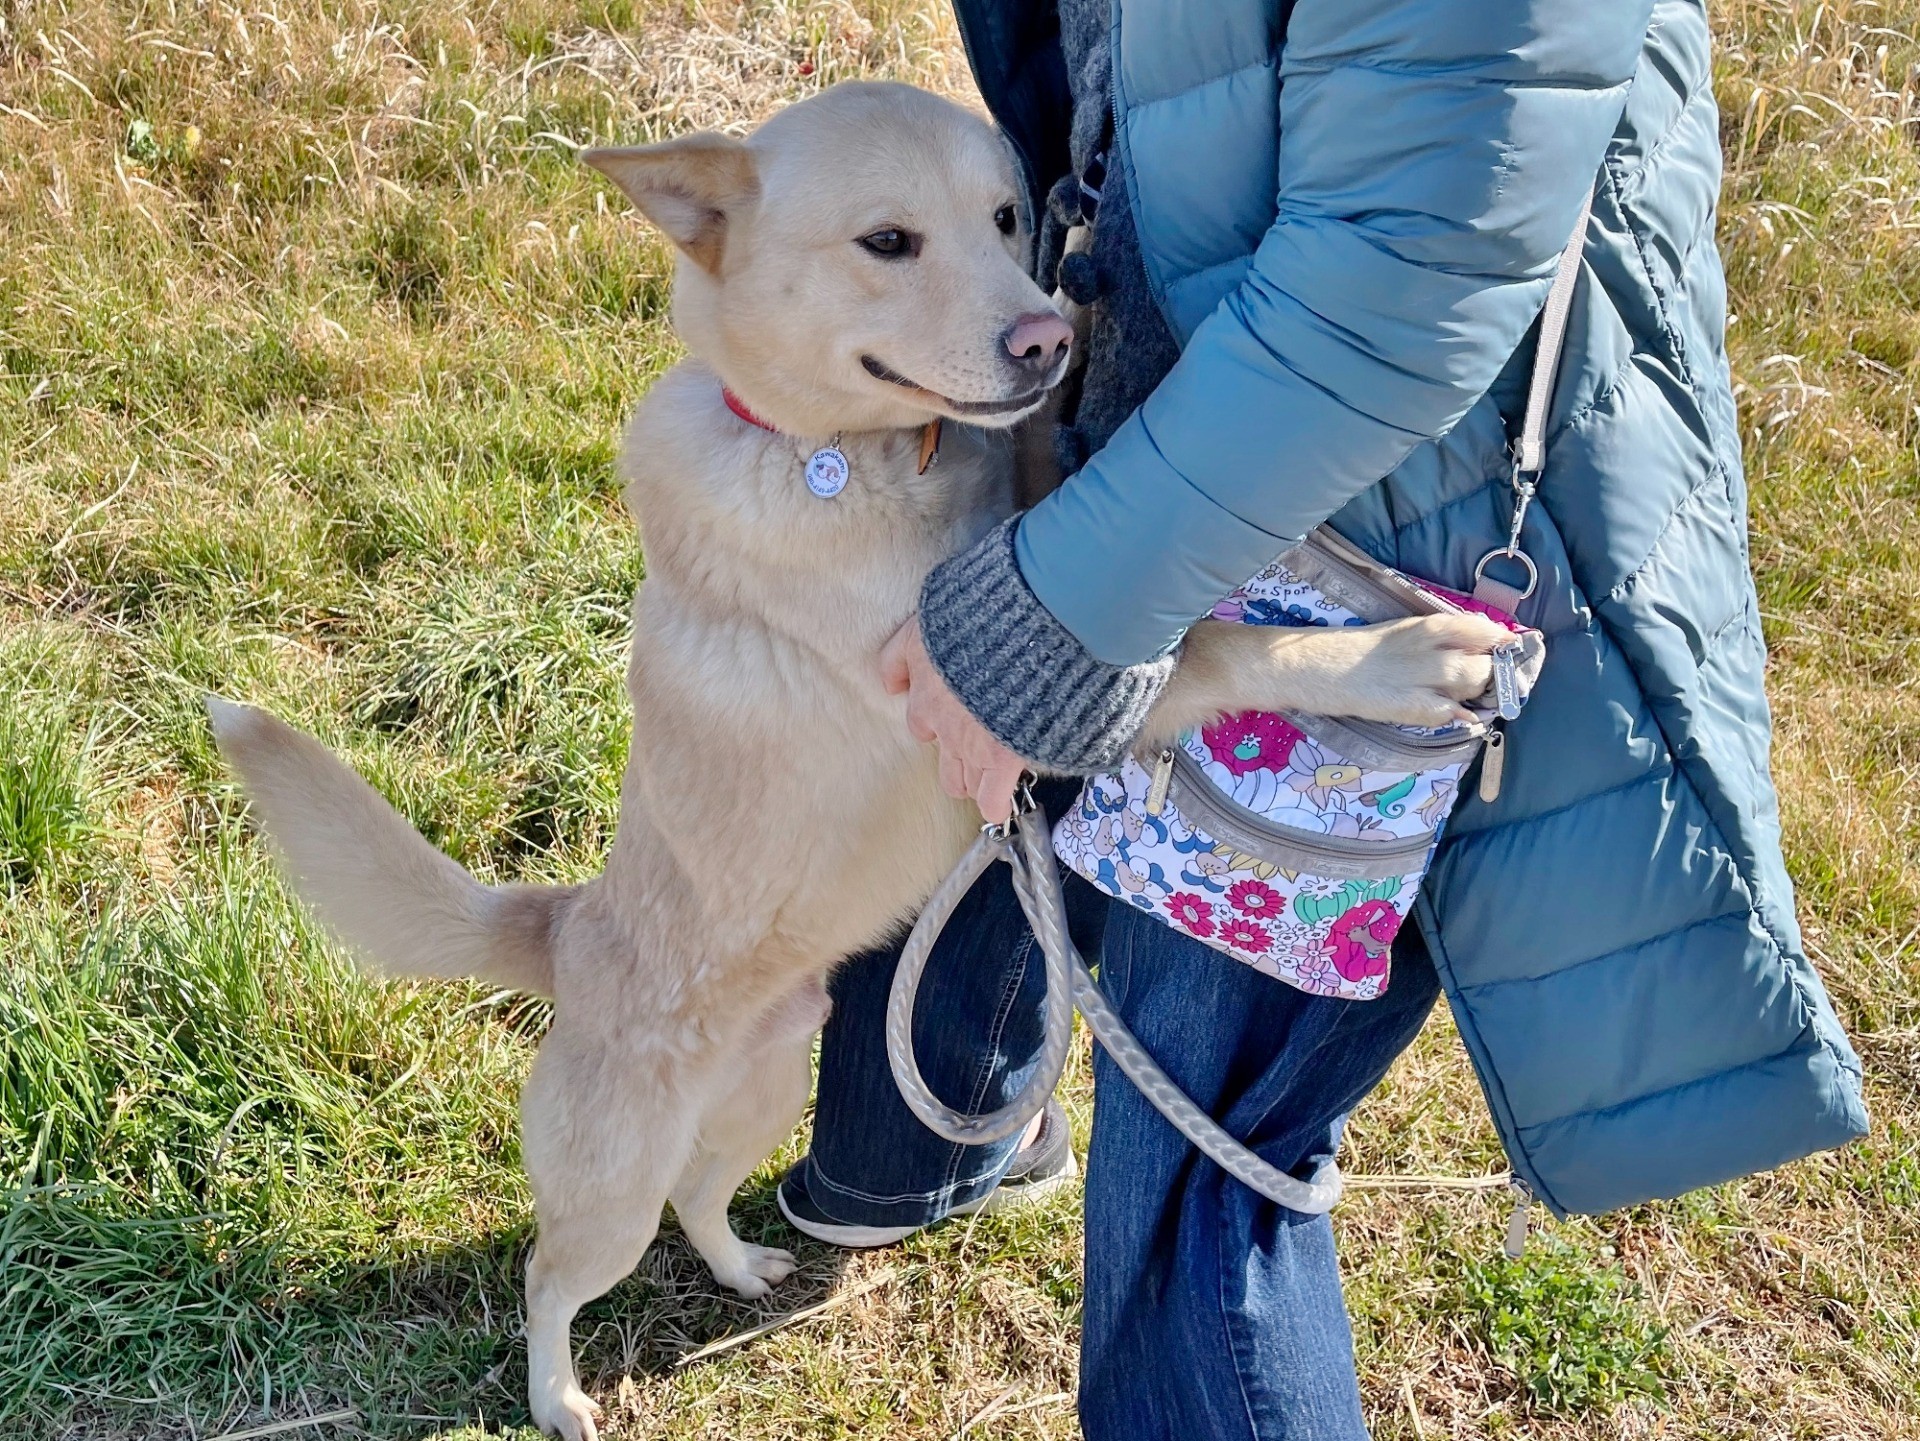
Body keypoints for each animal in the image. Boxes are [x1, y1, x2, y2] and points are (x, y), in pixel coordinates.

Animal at [214, 81, 1512, 1441]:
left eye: (1007, 219)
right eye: (888, 243)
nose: (1048, 340)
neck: (849, 453)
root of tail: (560, 924)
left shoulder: (1026, 537)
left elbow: (1087, 512)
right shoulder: (994, 672)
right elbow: (1224, 643)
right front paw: (1401, 658)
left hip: (763, 1089)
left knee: (701, 1196)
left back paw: (742, 1269)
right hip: (609, 1191)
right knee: (550, 1275)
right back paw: (561, 1395)